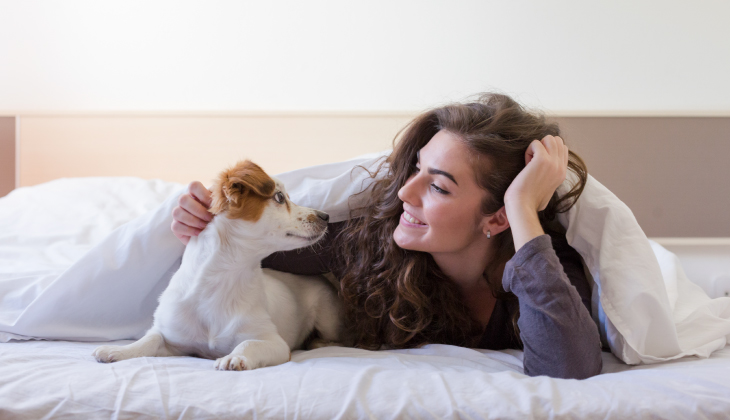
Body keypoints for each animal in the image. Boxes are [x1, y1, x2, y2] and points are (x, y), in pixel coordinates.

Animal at [94, 159, 344, 370]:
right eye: (280, 198)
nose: (325, 216)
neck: (223, 281)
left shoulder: (274, 342)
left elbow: (247, 344)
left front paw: (235, 357)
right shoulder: (174, 338)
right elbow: (150, 338)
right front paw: (119, 350)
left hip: (328, 316)